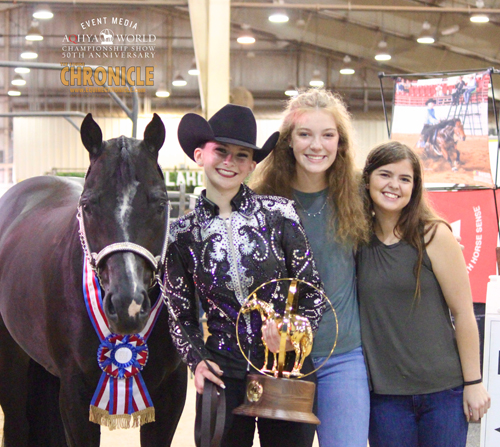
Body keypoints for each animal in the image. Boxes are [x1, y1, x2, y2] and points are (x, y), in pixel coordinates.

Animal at [0, 114, 187, 446]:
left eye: (161, 204)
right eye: (87, 205)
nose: (128, 305)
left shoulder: (172, 392)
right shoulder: (75, 395)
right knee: (17, 424)